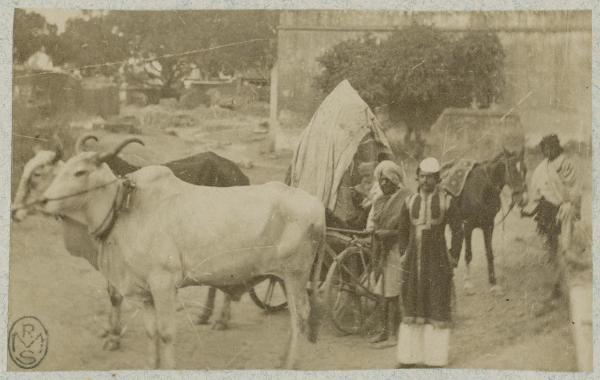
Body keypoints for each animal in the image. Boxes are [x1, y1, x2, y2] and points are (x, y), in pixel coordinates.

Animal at [446, 148, 524, 294]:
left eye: (525, 170)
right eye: (511, 169)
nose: (521, 199)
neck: (482, 188)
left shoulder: (489, 225)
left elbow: (489, 253)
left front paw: (493, 283)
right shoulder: (468, 226)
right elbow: (468, 254)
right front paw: (468, 283)